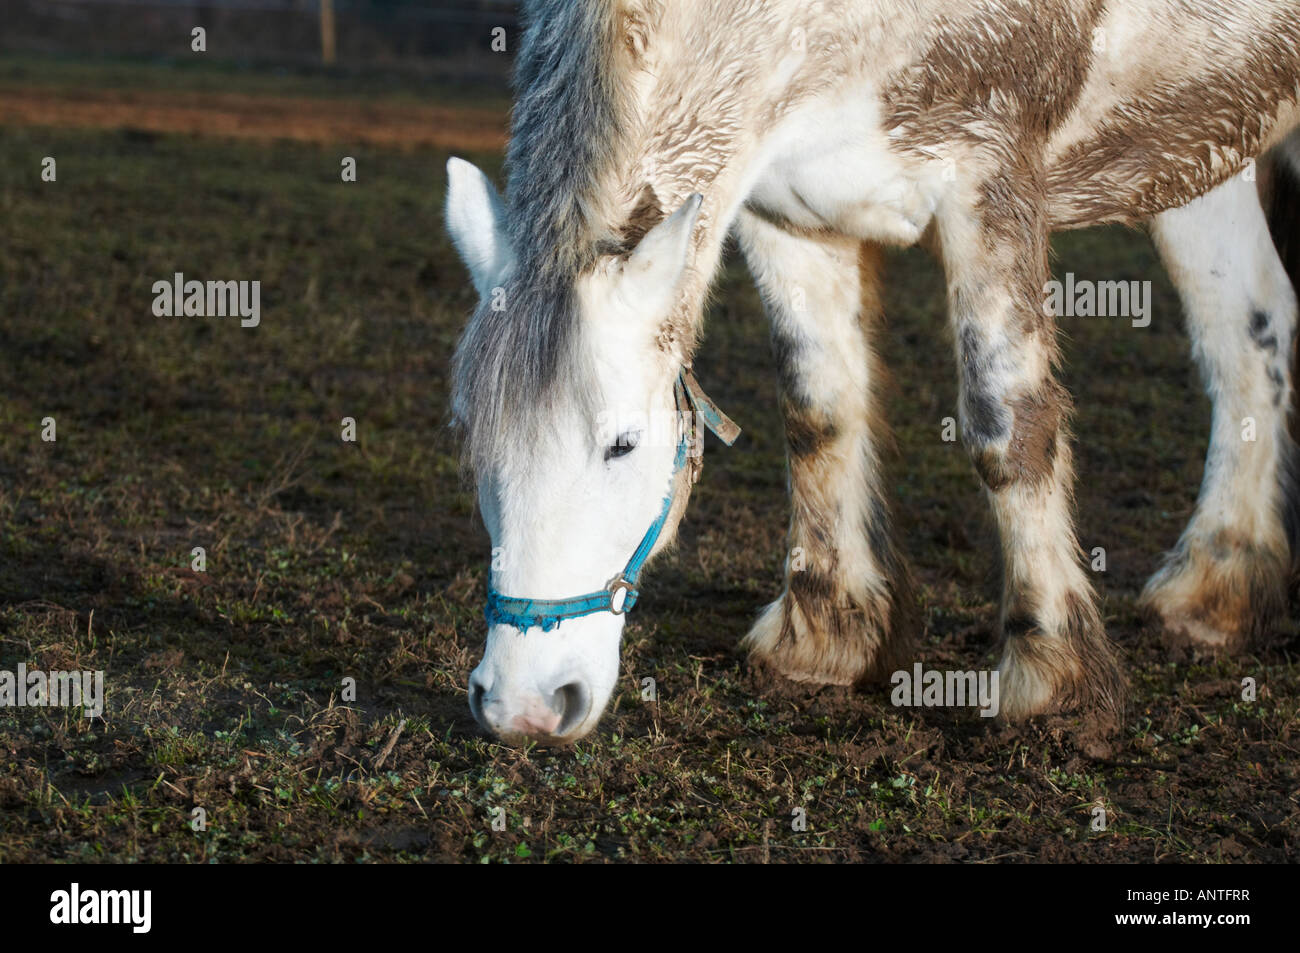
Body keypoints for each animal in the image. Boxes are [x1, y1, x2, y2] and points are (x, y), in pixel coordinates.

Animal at [444, 0, 1300, 743]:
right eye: (474, 448)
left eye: (620, 444)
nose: (524, 704)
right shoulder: (787, 213)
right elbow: (818, 409)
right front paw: (825, 635)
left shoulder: (989, 178)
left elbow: (1006, 423)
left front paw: (1050, 678)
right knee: (1251, 333)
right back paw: (1217, 589)